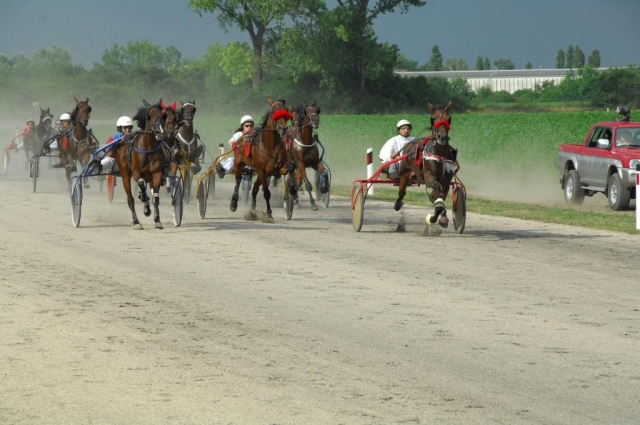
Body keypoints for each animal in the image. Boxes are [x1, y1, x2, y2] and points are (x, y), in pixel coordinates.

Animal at [114, 99, 170, 229]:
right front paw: (144, 201)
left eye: (163, 116)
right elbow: (141, 185)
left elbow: (156, 196)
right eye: (149, 116)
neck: (148, 148)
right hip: (125, 175)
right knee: (130, 199)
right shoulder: (136, 172)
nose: (160, 132)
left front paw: (157, 220)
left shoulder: (157, 173)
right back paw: (136, 221)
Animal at [392, 101, 458, 229]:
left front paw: (441, 217)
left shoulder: (446, 182)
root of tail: (409, 144)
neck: (439, 153)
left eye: (448, 118)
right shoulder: (428, 177)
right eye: (434, 118)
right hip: (404, 175)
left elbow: (439, 197)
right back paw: (398, 204)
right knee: (402, 193)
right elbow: (436, 190)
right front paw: (437, 213)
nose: (442, 137)